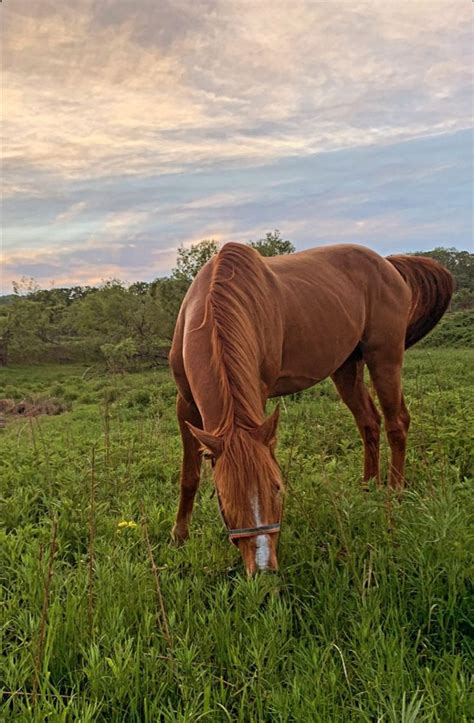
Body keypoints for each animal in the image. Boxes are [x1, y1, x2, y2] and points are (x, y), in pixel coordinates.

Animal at [168, 243, 454, 576]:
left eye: (278, 487)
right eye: (224, 498)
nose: (264, 569)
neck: (214, 304)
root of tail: (388, 265)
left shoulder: (258, 399)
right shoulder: (186, 404)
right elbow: (189, 476)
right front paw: (179, 537)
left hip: (385, 358)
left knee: (397, 422)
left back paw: (393, 493)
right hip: (347, 367)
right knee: (369, 422)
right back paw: (367, 487)